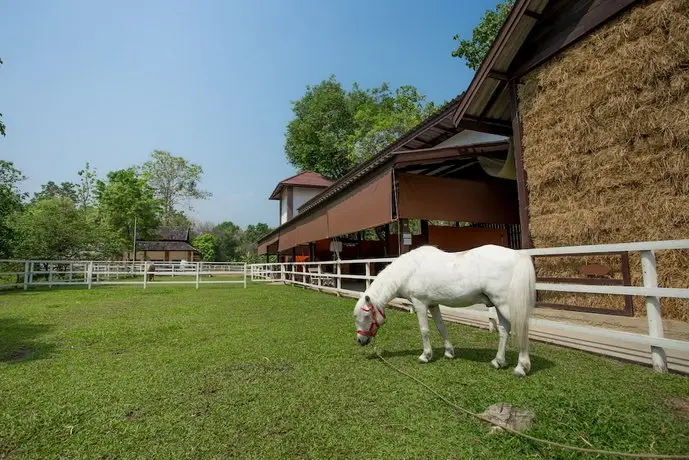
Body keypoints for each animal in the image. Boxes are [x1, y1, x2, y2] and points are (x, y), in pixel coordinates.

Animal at [352, 244, 536, 378]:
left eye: (366, 315)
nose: (360, 340)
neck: (410, 271)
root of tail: (517, 255)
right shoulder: (433, 305)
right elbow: (441, 327)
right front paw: (449, 352)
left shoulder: (420, 304)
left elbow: (424, 330)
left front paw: (425, 356)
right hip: (499, 305)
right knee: (504, 331)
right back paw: (498, 361)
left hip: (505, 305)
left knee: (522, 329)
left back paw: (521, 368)